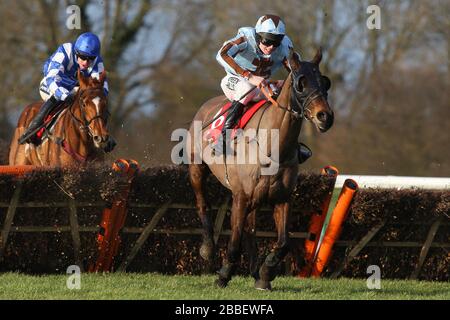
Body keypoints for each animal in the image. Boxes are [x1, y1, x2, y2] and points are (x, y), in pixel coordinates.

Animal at [189, 48, 334, 290]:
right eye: (301, 83)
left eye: (325, 82)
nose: (326, 116)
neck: (272, 147)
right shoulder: (240, 197)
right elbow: (235, 241)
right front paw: (224, 274)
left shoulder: (282, 199)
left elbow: (283, 242)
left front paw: (266, 272)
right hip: (197, 169)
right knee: (203, 204)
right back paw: (208, 248)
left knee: (250, 230)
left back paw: (256, 273)